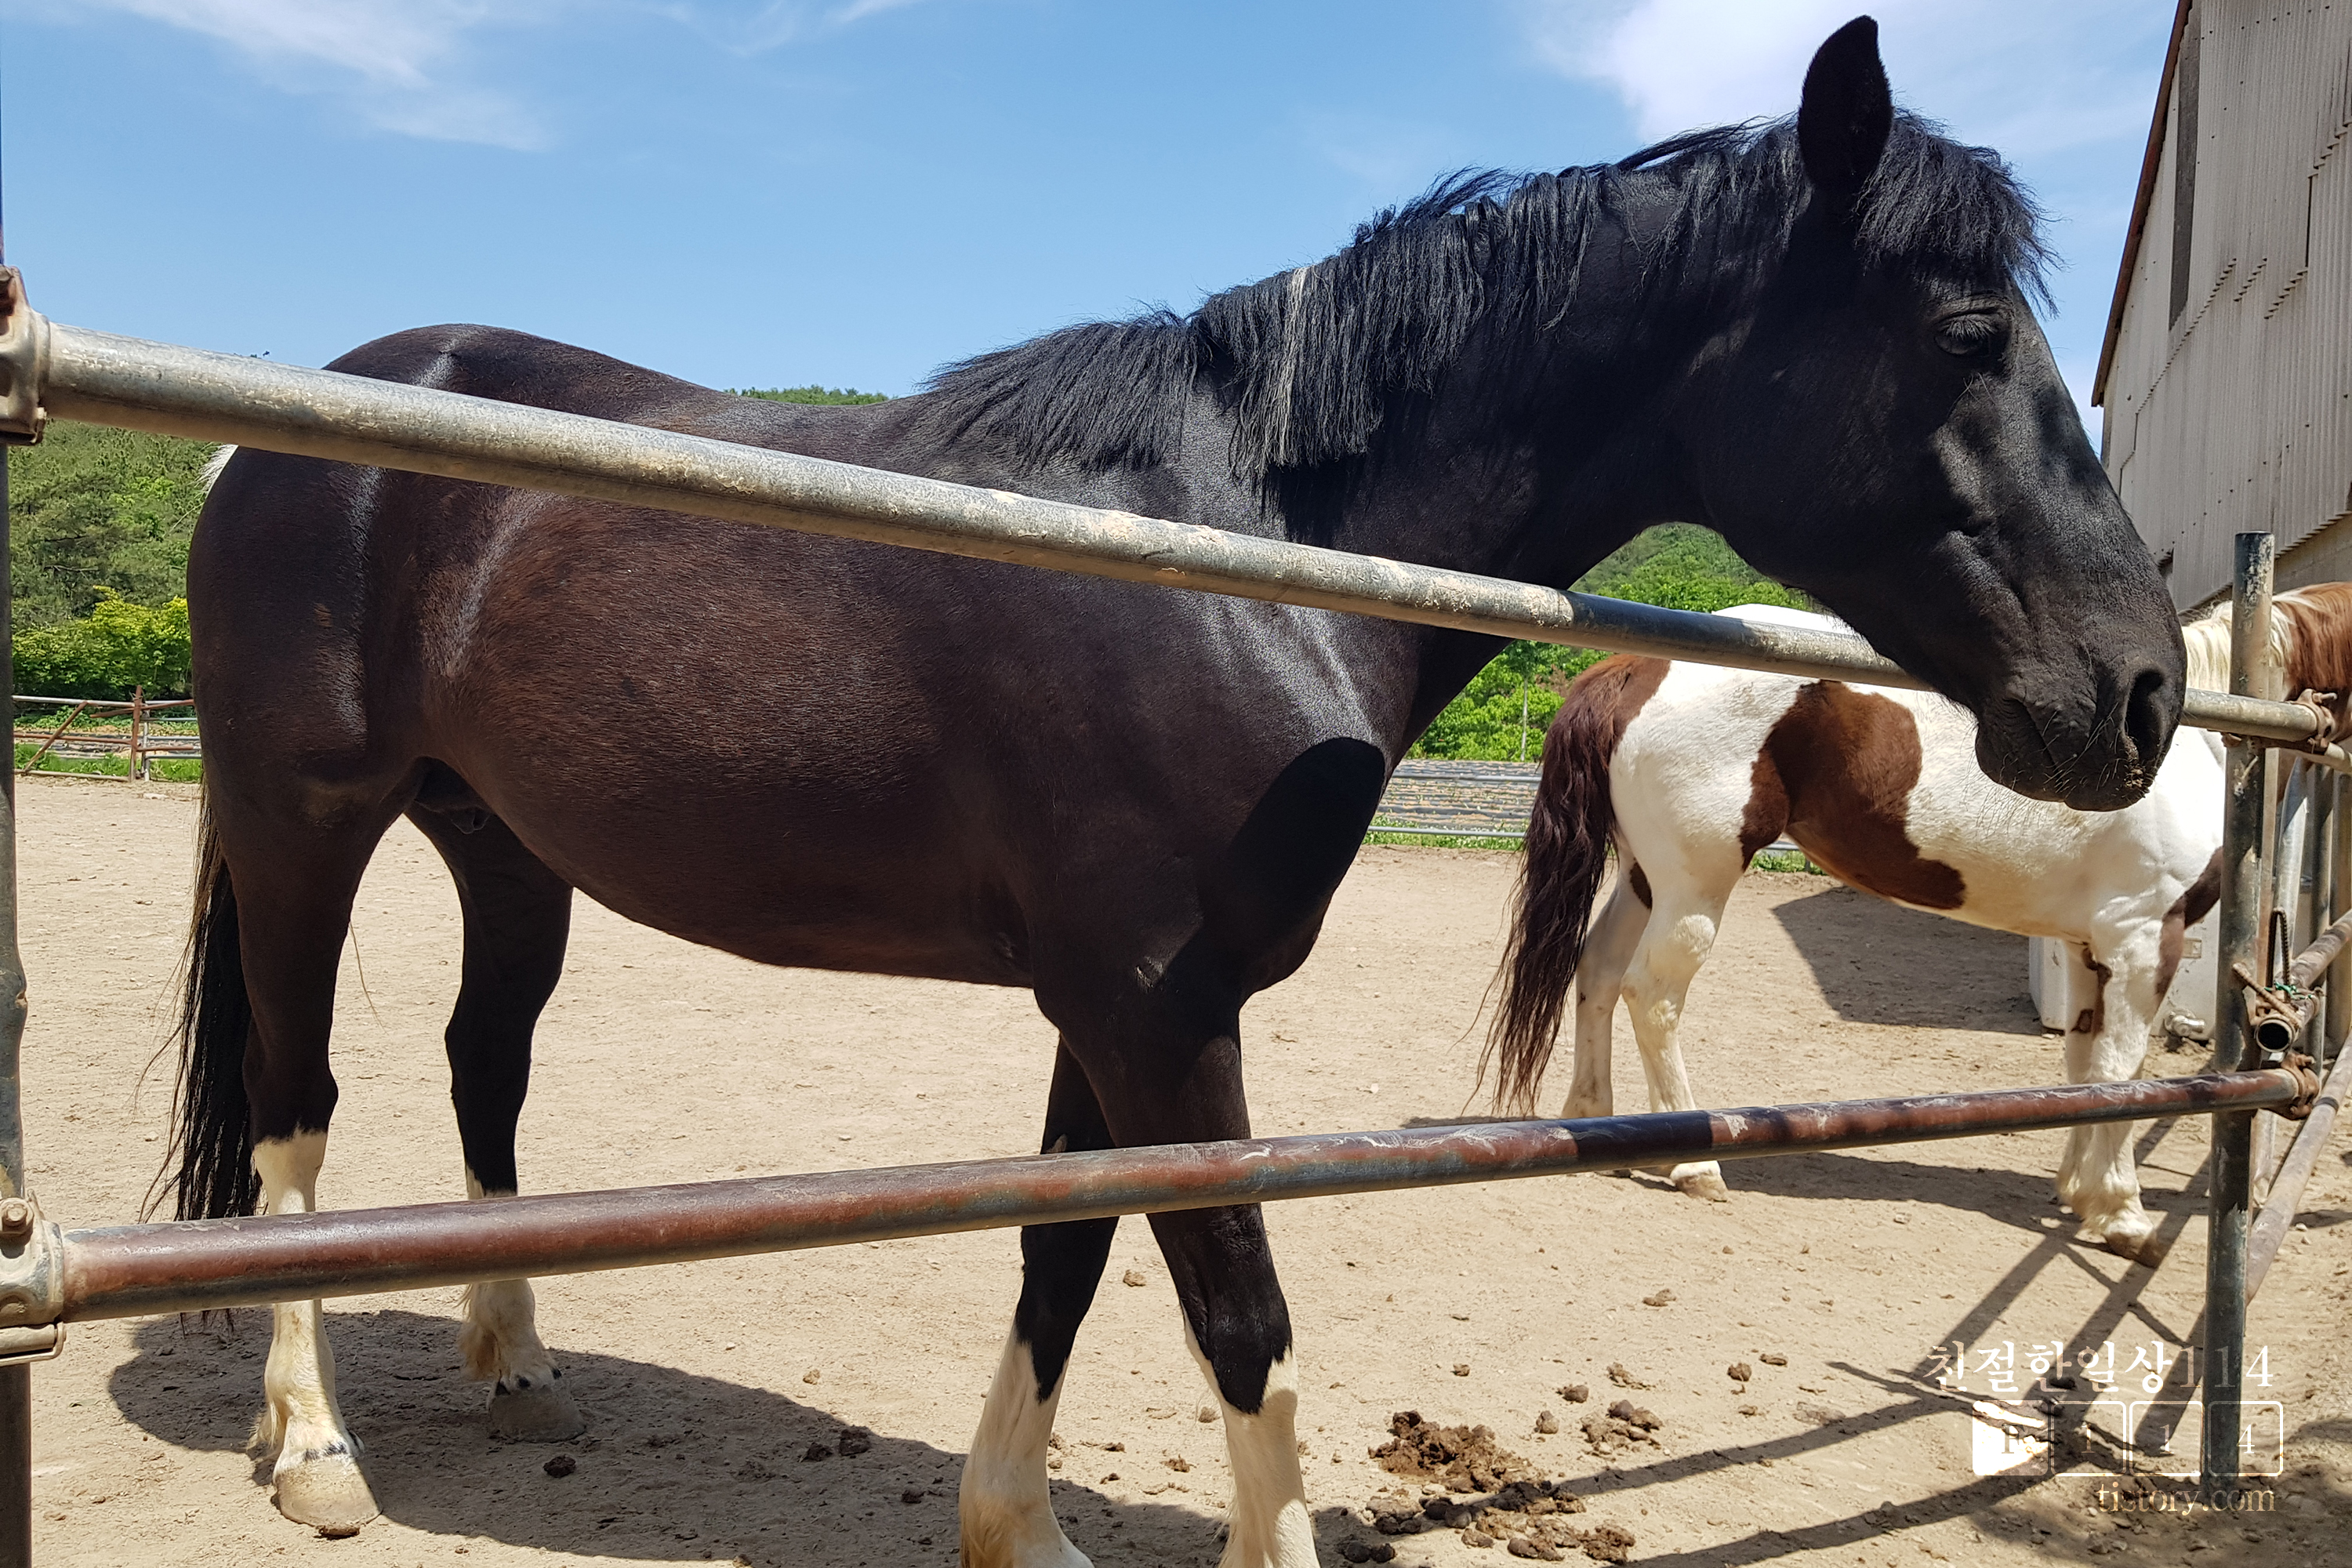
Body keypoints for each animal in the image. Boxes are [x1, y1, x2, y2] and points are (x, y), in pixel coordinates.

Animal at [168, 19, 2182, 1562]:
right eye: (1961, 333)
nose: (2140, 688)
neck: (1238, 553)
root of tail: (293, 429)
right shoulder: (1157, 1005)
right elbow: (1238, 1309)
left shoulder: (1114, 1003)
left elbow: (1064, 1247)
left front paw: (1015, 1526)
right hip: (300, 829)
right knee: (295, 1102)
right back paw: (316, 1447)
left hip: (501, 847)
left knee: (480, 1067)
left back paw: (511, 1351)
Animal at [1485, 585, 2352, 1265]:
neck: (2193, 740)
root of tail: (1633, 668)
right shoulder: (2143, 939)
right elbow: (2120, 1070)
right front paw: (2122, 1214)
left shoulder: (2087, 947)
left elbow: (2082, 1063)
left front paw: (2075, 1192)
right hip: (1694, 887)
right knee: (1654, 996)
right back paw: (1693, 1166)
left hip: (1644, 879)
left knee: (1596, 973)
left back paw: (1596, 1121)